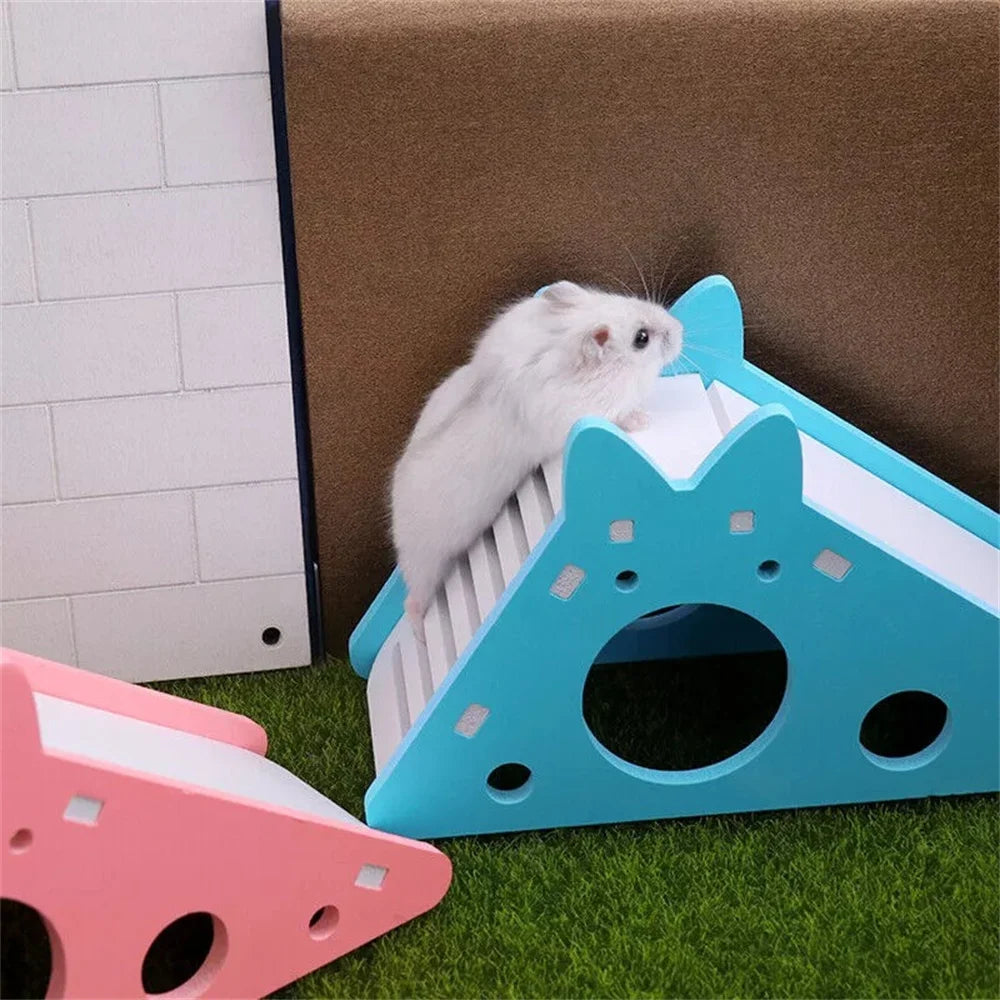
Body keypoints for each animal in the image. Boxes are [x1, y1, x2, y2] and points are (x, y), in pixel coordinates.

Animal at [391, 280, 683, 633]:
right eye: (641, 338)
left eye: (621, 297)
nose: (681, 330)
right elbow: (621, 416)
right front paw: (642, 420)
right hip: (427, 559)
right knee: (413, 597)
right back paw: (418, 629)